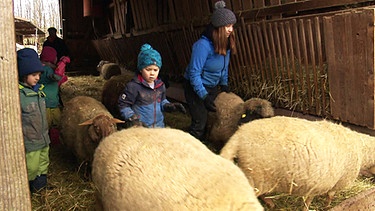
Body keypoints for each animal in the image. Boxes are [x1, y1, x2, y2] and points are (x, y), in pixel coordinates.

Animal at [220, 116, 375, 210]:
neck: (362, 149)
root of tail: (239, 135)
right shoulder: (338, 182)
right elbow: (329, 196)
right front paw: (326, 207)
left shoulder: (318, 183)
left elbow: (309, 199)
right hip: (257, 175)